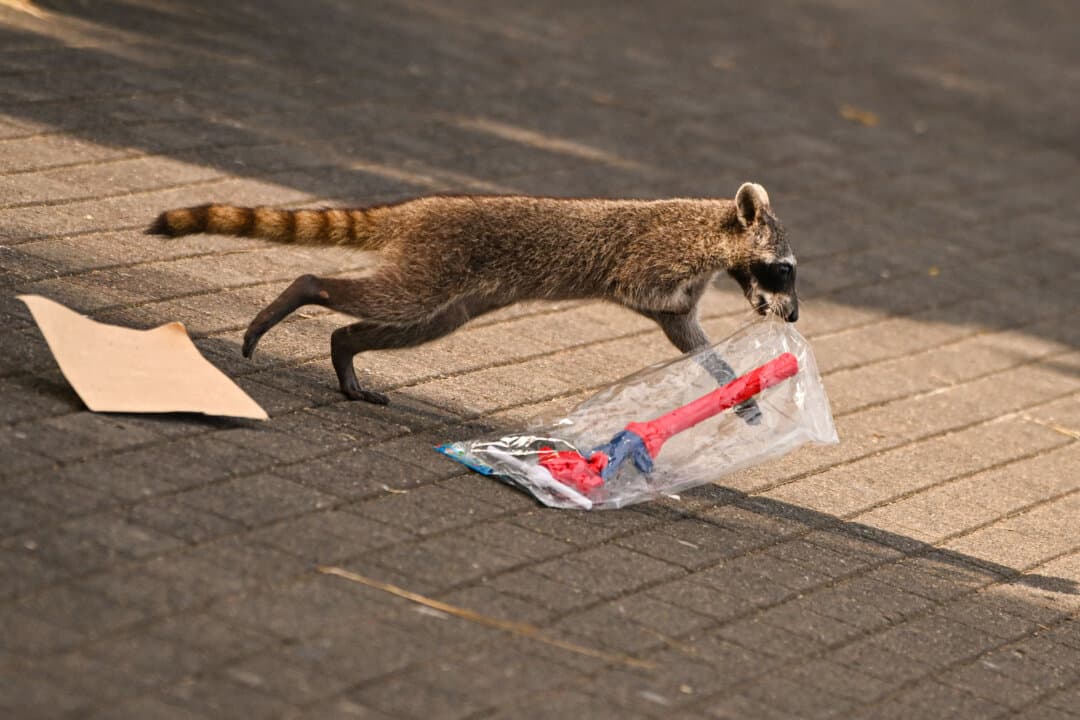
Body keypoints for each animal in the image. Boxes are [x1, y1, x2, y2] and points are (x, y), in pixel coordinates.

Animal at [149, 183, 798, 407]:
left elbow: (685, 332)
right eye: (784, 271)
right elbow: (644, 294)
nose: (792, 316)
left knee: (410, 324)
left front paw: (729, 377)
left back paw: (345, 351)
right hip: (435, 265)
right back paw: (307, 293)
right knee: (390, 299)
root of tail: (416, 211)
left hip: (451, 292)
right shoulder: (656, 256)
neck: (718, 230)